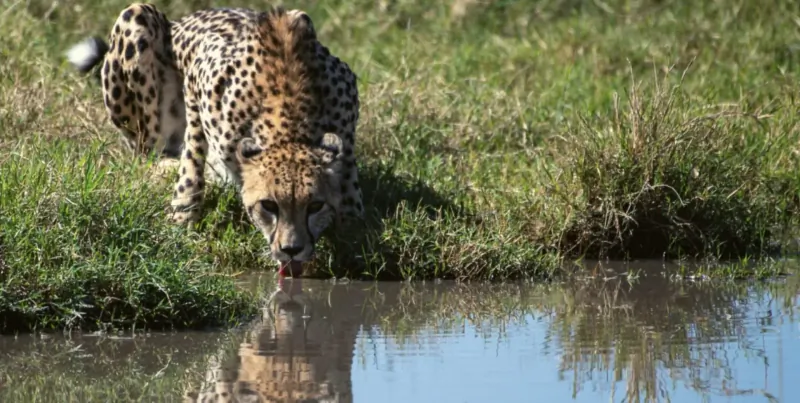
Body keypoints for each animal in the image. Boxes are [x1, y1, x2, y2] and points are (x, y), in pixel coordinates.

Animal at [67, 3, 364, 276]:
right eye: (269, 205)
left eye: (315, 205)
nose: (292, 249)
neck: (290, 119)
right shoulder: (197, 80)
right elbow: (191, 164)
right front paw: (180, 222)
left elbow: (350, 188)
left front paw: (353, 232)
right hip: (137, 18)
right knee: (148, 153)